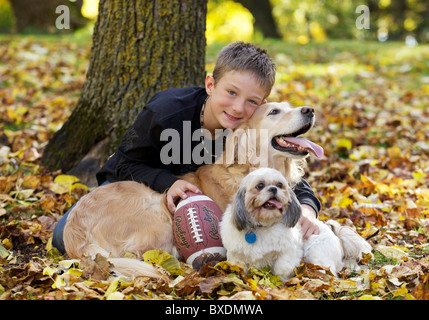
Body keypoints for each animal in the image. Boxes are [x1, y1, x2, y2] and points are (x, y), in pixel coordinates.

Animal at [221, 168, 372, 280]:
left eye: (280, 185)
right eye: (260, 186)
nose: (273, 189)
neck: (263, 225)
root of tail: (338, 239)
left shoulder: (289, 253)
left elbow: (281, 268)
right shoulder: (236, 255)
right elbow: (239, 268)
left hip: (316, 253)